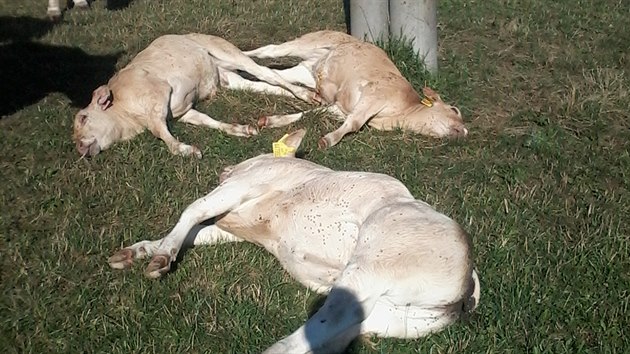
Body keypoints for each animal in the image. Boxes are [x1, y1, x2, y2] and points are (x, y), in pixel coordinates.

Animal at [74, 32, 318, 158]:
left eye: (83, 118)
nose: (79, 147)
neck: (126, 112)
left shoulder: (158, 95)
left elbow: (160, 131)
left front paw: (185, 150)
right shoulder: (182, 112)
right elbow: (207, 120)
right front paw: (240, 129)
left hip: (227, 52)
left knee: (269, 73)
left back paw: (306, 94)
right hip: (228, 76)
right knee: (265, 85)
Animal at [110, 129, 484, 352]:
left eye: (254, 154)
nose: (223, 169)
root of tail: (468, 285)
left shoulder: (244, 185)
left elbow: (194, 210)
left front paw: (160, 259)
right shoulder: (233, 223)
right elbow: (197, 233)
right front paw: (139, 251)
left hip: (370, 266)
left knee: (317, 327)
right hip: (389, 318)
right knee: (325, 336)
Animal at [247, 28, 470, 148]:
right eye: (454, 110)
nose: (465, 131)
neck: (402, 111)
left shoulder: (341, 107)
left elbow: (311, 113)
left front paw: (270, 121)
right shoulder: (376, 94)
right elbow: (354, 124)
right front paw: (328, 140)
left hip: (304, 71)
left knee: (274, 73)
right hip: (308, 42)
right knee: (268, 50)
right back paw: (241, 54)